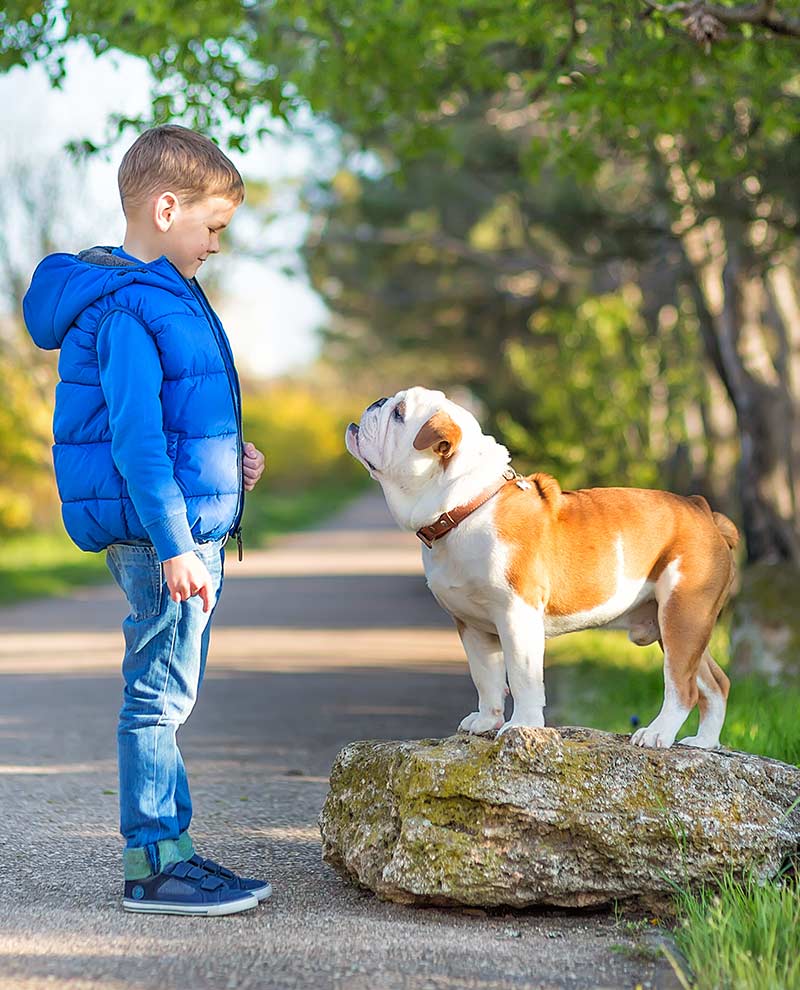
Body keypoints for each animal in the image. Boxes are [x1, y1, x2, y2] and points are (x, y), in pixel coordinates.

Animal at [344, 388, 736, 752]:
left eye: (399, 413)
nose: (377, 402)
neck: (465, 507)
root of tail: (702, 509)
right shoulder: (470, 624)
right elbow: (485, 676)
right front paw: (486, 720)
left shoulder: (516, 615)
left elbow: (522, 676)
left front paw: (523, 724)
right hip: (677, 624)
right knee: (714, 681)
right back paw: (704, 742)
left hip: (682, 612)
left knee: (682, 686)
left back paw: (657, 734)